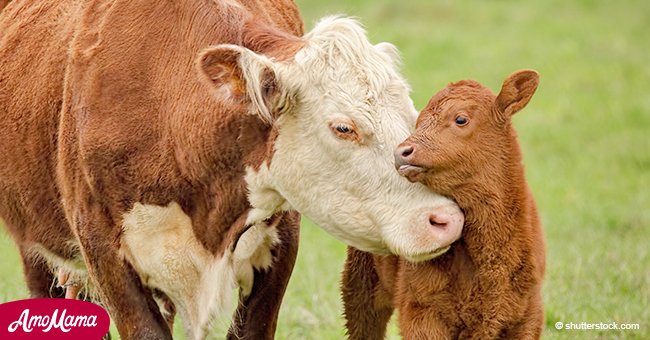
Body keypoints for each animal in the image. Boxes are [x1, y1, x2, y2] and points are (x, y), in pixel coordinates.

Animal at [342, 70, 544, 338]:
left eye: (461, 119)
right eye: (418, 123)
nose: (402, 151)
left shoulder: (529, 314)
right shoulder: (421, 310)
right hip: (360, 283)